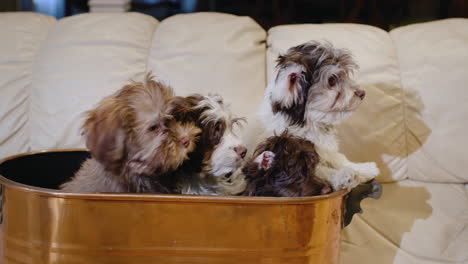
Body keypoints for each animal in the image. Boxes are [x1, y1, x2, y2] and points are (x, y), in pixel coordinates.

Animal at [260, 40, 380, 191]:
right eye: (332, 81)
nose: (362, 93)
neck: (309, 124)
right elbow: (320, 170)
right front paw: (343, 176)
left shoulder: (324, 148)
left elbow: (338, 158)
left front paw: (363, 168)